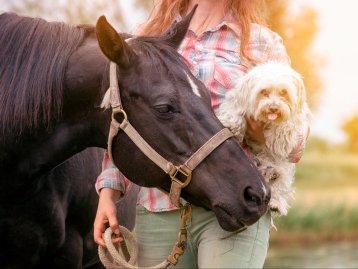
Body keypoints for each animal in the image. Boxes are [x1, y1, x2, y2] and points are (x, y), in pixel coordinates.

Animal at [217, 61, 312, 216]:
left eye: (284, 92)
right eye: (263, 92)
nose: (273, 108)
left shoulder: (296, 117)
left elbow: (287, 123)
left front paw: (280, 140)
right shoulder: (237, 98)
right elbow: (234, 110)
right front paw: (231, 125)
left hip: (284, 167)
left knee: (280, 183)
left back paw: (275, 199)